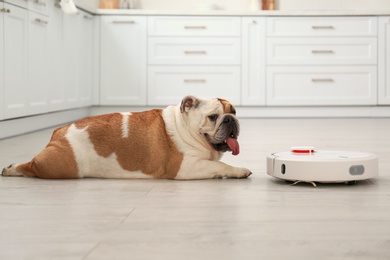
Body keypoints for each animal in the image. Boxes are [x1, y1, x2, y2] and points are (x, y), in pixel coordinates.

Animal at [2, 96, 253, 180]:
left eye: (234, 111)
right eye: (213, 117)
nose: (230, 119)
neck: (186, 127)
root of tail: (60, 131)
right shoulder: (185, 167)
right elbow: (219, 166)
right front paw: (238, 171)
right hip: (58, 166)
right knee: (31, 166)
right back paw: (12, 169)